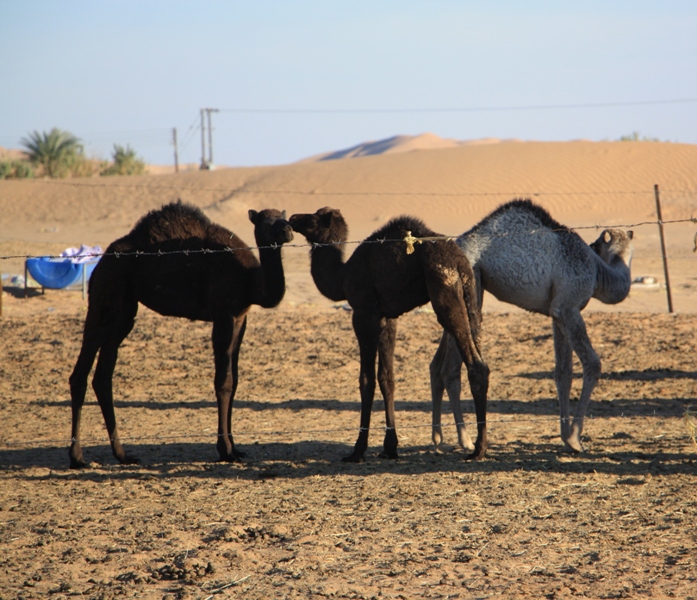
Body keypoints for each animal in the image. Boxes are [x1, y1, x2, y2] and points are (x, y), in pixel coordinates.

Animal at [71, 202, 296, 468]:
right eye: (266, 222)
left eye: (284, 218)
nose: (288, 230)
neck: (250, 281)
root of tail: (102, 262)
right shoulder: (223, 313)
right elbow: (224, 381)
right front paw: (225, 451)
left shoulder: (241, 318)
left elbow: (235, 380)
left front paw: (236, 448)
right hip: (107, 291)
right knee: (82, 370)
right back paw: (77, 457)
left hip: (125, 306)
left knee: (103, 376)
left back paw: (123, 455)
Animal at [288, 207, 490, 464]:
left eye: (313, 220)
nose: (292, 218)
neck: (342, 276)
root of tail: (460, 262)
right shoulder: (387, 319)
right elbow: (387, 379)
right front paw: (390, 447)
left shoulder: (364, 313)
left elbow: (366, 380)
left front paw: (358, 451)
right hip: (471, 296)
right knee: (481, 362)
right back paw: (478, 446)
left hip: (444, 291)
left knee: (474, 364)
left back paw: (478, 449)